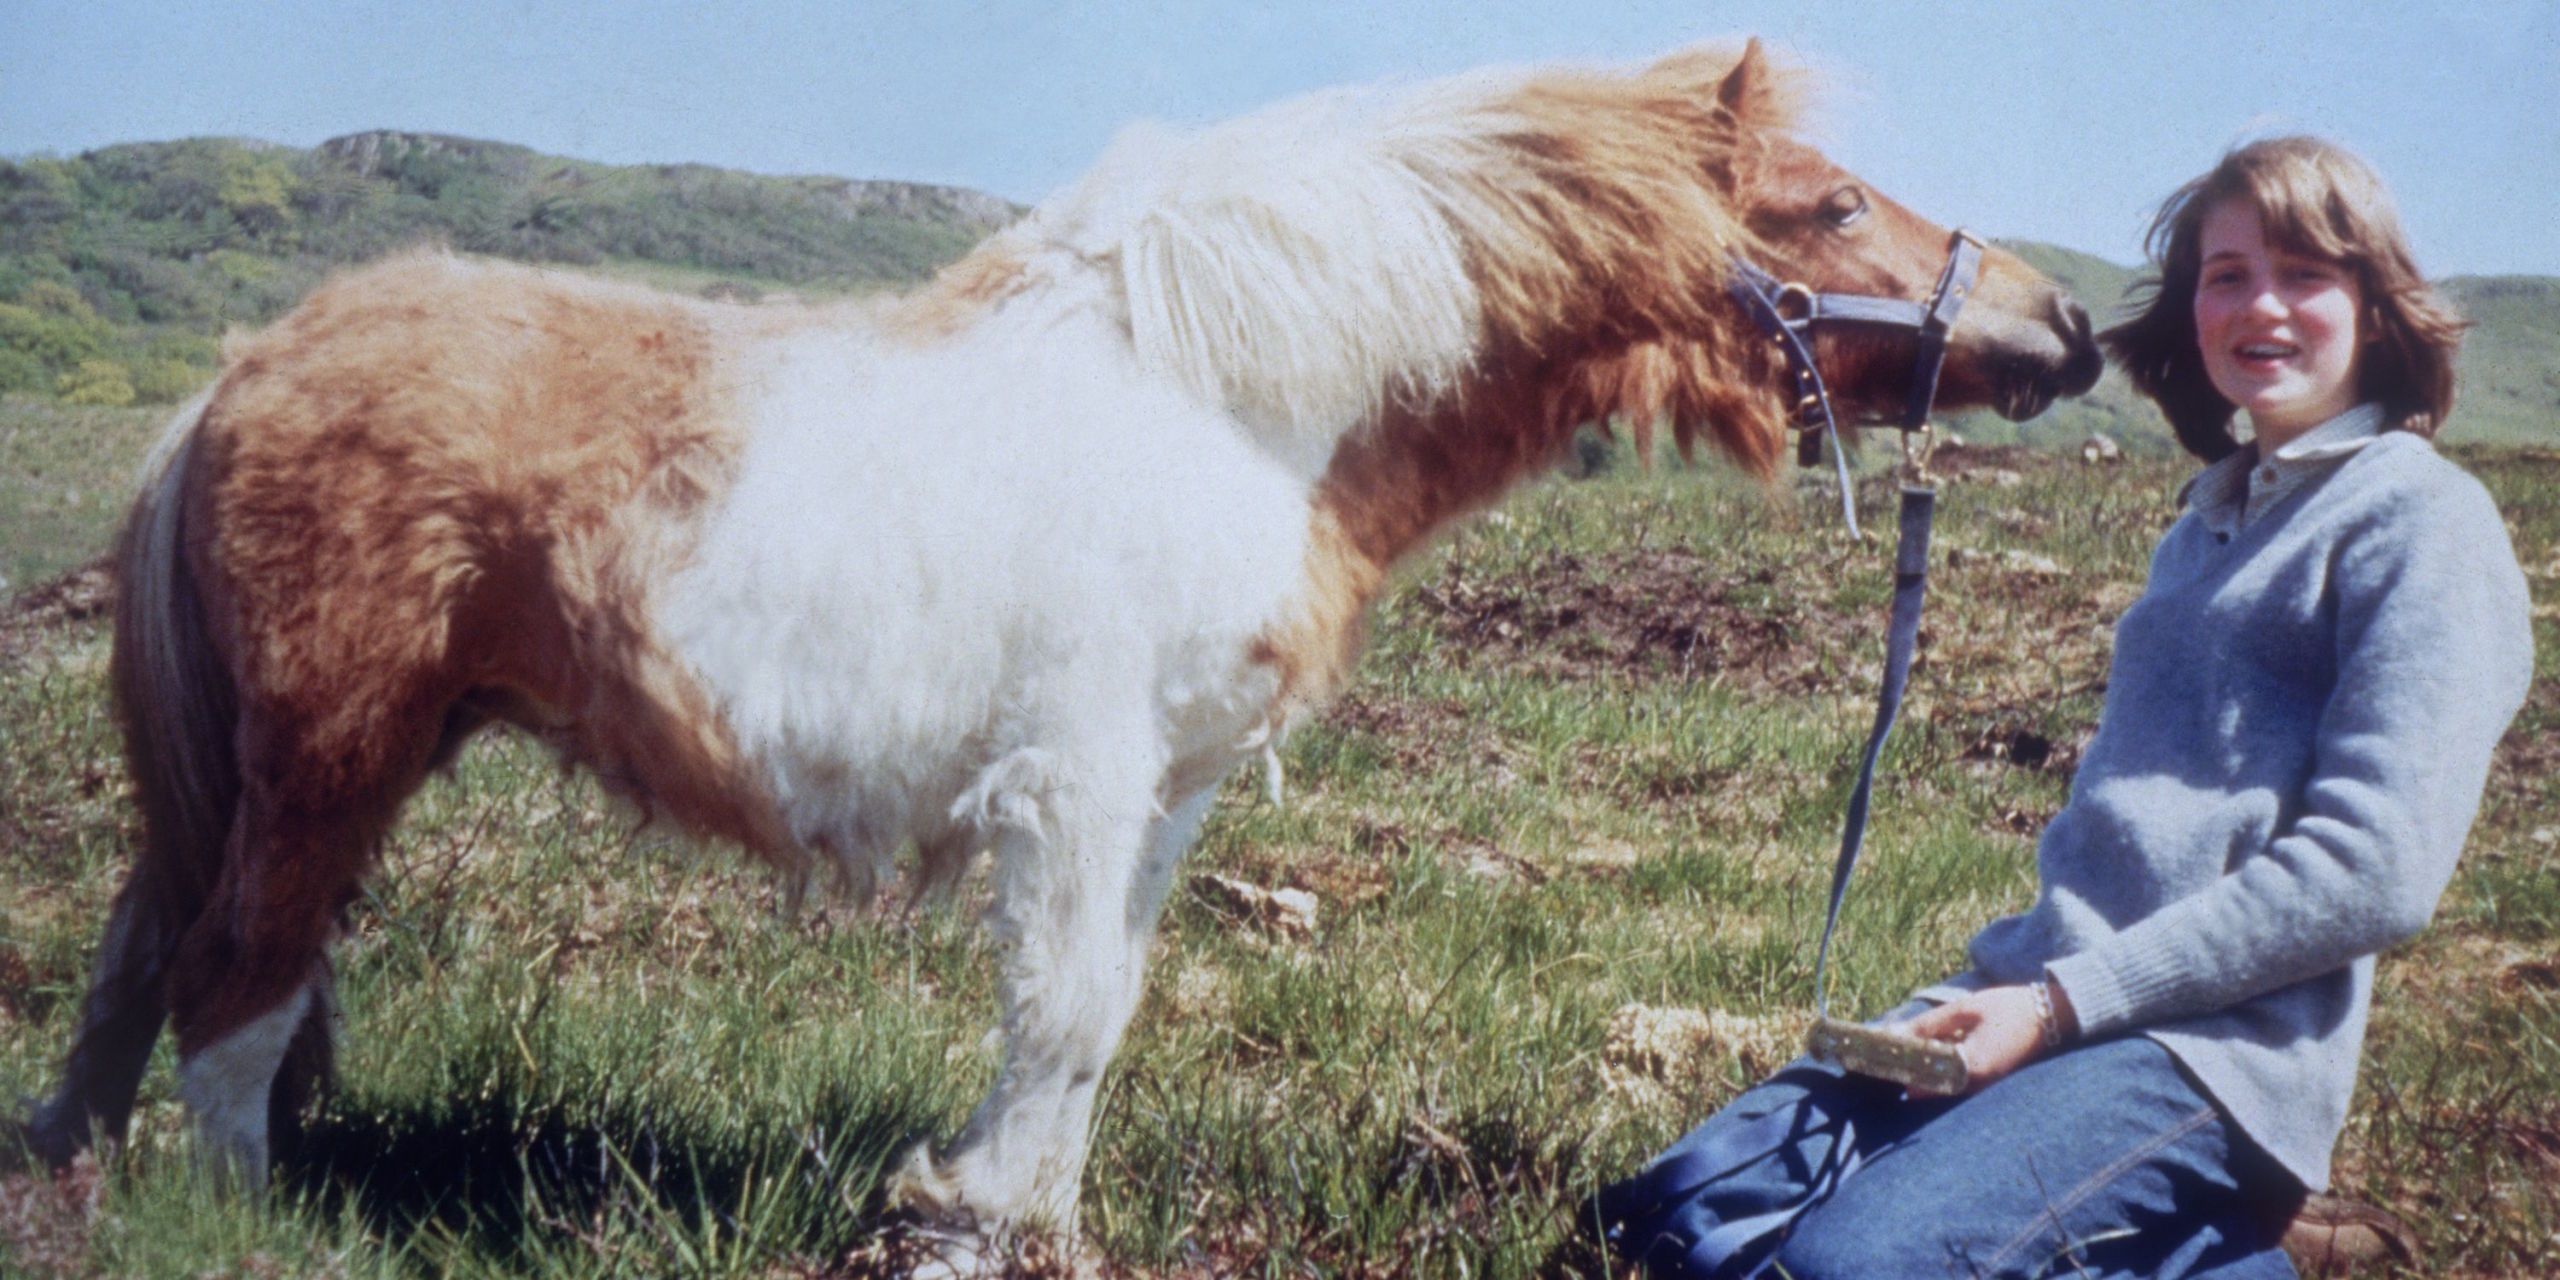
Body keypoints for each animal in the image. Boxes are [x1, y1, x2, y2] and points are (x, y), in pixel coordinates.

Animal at [15, 42, 2099, 1249]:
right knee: (233, 990)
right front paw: (972, 1215)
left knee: (134, 971)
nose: (2066, 327)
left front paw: (1011, 1212)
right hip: (333, 764)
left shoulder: (1160, 794)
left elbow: (1099, 1010)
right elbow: (1069, 1008)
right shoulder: (1075, 778)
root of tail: (243, 373)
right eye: (1829, 205)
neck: (1224, 402)